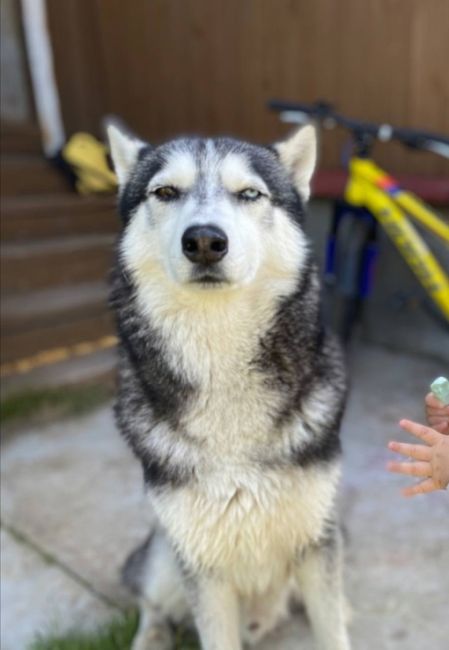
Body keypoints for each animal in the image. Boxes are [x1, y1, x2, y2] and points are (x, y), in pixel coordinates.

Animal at [107, 123, 348, 648]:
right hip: (166, 551)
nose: (203, 241)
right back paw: (150, 636)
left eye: (249, 194)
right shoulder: (201, 561)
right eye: (165, 192)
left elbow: (332, 629)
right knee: (150, 601)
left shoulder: (317, 537)